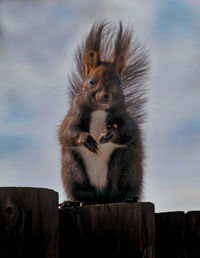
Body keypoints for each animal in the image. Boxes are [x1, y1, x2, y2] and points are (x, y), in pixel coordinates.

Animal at [57, 20, 148, 205]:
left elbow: (128, 131)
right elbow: (67, 132)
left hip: (127, 165)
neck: (100, 110)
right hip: (72, 170)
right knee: (81, 193)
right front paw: (86, 139)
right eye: (91, 82)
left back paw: (126, 196)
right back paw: (73, 202)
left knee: (121, 187)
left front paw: (111, 133)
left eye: (120, 84)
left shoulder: (125, 118)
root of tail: (101, 198)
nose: (106, 96)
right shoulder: (73, 115)